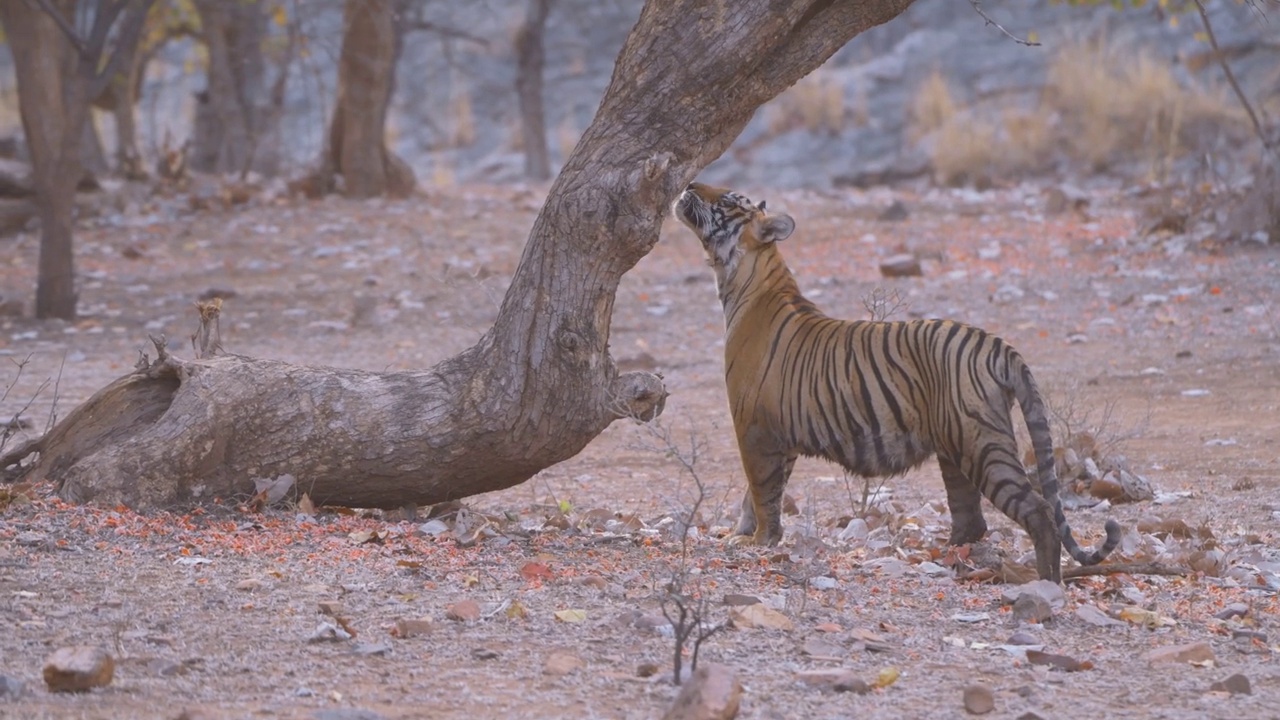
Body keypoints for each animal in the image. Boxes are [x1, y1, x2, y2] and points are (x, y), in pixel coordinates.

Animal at [670, 181, 1121, 579]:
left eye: (727, 200)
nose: (689, 184)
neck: (741, 279)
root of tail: (998, 344)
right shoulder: (781, 438)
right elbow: (762, 491)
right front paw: (746, 533)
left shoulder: (754, 428)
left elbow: (760, 490)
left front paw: (756, 540)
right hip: (955, 449)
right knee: (972, 519)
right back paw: (947, 558)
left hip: (981, 443)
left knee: (1039, 511)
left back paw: (1048, 583)